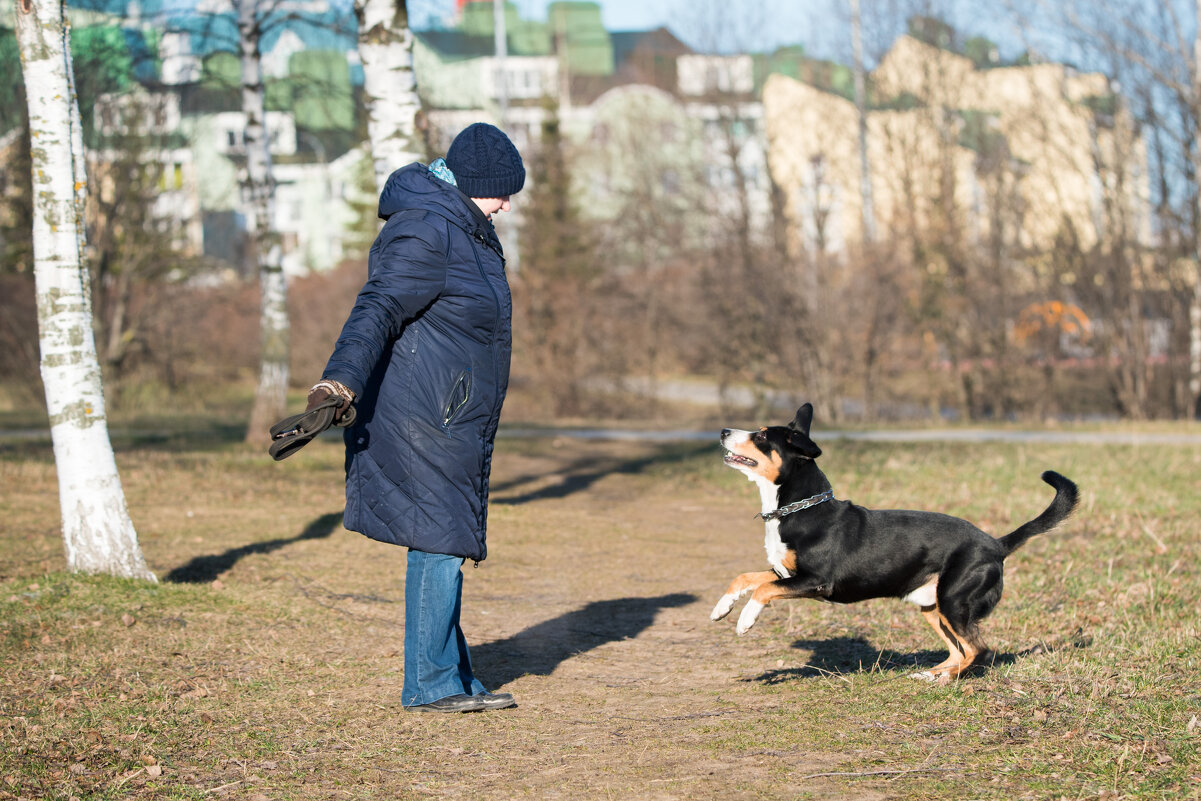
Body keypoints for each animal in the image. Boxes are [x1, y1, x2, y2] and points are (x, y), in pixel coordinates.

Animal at [710, 401, 1080, 682]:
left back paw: (944, 680)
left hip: (954, 601)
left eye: (761, 435)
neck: (798, 509)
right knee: (958, 649)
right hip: (933, 608)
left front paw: (745, 620)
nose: (723, 431)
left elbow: (762, 590)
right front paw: (721, 608)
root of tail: (996, 544)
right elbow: (745, 578)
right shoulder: (786, 574)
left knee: (978, 649)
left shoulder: (815, 581)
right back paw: (931, 674)